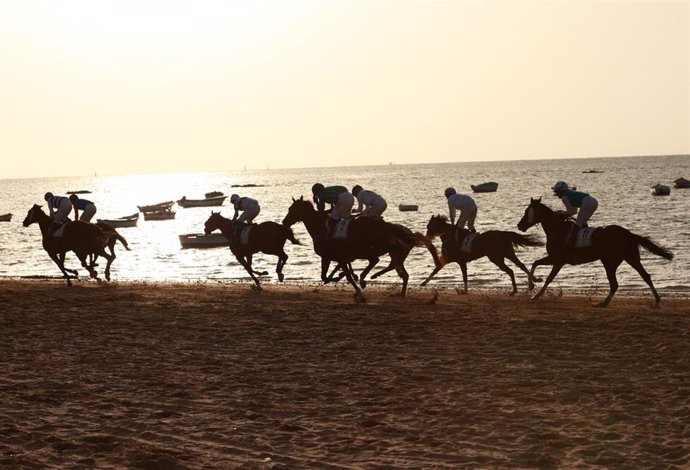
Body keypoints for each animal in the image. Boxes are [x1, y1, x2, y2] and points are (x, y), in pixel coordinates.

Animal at [278, 196, 430, 300]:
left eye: (292, 209)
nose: (284, 222)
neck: (320, 227)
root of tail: (386, 225)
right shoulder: (341, 257)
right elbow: (335, 274)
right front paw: (344, 278)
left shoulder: (330, 257)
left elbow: (330, 276)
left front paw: (355, 289)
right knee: (387, 263)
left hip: (366, 249)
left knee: (376, 261)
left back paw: (364, 279)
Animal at [516, 196, 672, 306]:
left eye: (526, 211)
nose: (519, 225)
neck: (556, 229)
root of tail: (629, 234)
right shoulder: (557, 260)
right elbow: (539, 267)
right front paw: (534, 286)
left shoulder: (557, 259)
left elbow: (544, 272)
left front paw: (534, 290)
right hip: (632, 258)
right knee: (646, 276)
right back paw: (657, 301)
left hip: (609, 262)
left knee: (615, 284)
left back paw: (603, 303)